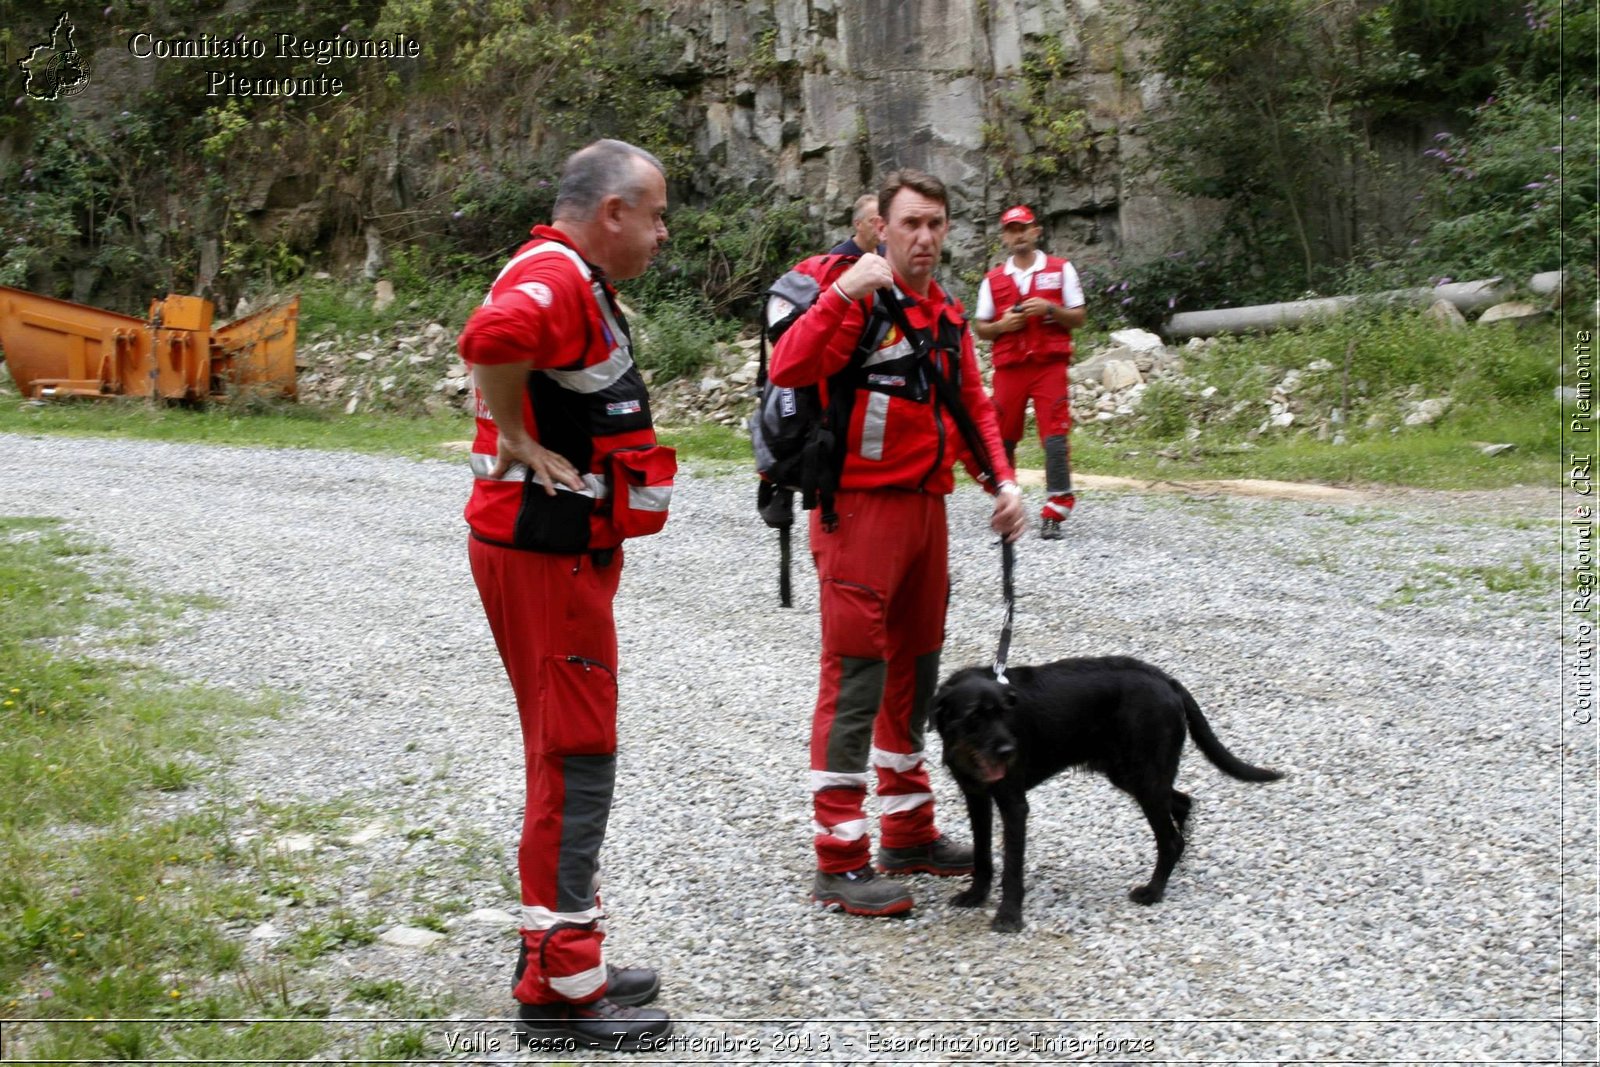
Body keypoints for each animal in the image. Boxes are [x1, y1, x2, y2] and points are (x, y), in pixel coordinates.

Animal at [934, 655, 1280, 927]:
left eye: (1005, 713)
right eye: (974, 716)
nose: (1008, 751)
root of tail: (1166, 681)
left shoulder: (1013, 804)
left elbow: (1012, 866)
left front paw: (1008, 917)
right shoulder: (976, 798)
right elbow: (982, 854)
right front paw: (975, 895)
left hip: (1143, 777)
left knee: (1169, 838)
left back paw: (1153, 891)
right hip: (1131, 774)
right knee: (1181, 803)